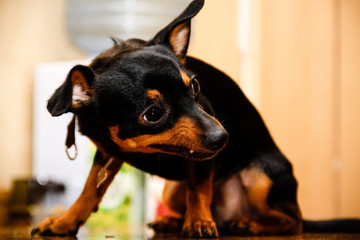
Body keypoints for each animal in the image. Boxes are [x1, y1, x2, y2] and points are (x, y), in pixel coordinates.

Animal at [31, 0, 360, 236]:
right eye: (153, 114)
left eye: (196, 88)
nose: (223, 138)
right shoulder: (107, 155)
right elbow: (89, 191)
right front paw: (64, 222)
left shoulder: (203, 156)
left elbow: (199, 187)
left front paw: (199, 222)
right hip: (171, 190)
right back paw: (175, 222)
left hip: (260, 176)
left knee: (293, 220)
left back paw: (247, 223)